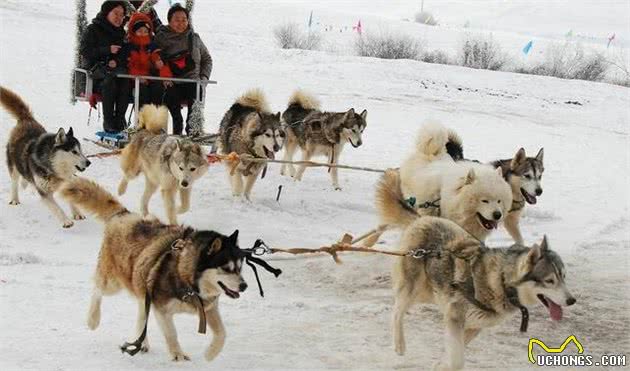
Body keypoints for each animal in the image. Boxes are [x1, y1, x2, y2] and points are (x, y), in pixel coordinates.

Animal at [0, 85, 91, 228]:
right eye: (74, 151)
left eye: (81, 150)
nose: (88, 162)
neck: (53, 168)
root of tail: (27, 119)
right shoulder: (44, 192)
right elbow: (56, 208)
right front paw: (66, 221)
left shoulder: (67, 184)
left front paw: (77, 213)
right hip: (12, 164)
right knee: (14, 181)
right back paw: (14, 199)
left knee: (25, 176)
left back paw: (25, 182)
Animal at [61, 179, 248, 362]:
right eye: (226, 268)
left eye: (240, 267)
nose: (244, 286)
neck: (186, 276)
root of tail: (125, 215)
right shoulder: (162, 309)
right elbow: (171, 333)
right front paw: (177, 354)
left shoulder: (208, 308)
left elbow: (222, 333)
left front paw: (210, 354)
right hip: (113, 282)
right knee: (97, 290)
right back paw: (93, 319)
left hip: (142, 286)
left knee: (140, 314)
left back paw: (141, 342)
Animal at [386, 174, 576, 371]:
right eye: (549, 280)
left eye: (563, 277)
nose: (572, 300)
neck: (500, 280)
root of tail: (420, 219)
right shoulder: (455, 317)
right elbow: (457, 360)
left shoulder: (474, 326)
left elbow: (452, 351)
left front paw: (440, 364)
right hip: (412, 287)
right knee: (396, 311)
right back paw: (399, 344)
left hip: (428, 291)